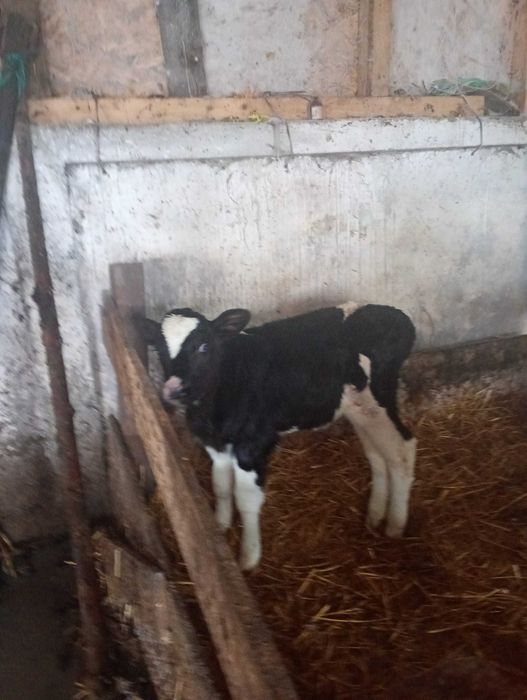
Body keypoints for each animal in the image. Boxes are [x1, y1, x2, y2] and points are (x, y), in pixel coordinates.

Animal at [141, 302, 417, 571]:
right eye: (159, 349)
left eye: (203, 346)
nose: (174, 389)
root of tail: (395, 315)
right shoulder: (216, 446)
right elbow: (220, 486)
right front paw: (219, 528)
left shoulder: (254, 444)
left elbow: (246, 499)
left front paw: (249, 556)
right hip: (360, 411)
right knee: (377, 454)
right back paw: (375, 514)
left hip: (378, 402)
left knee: (402, 450)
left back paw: (395, 524)